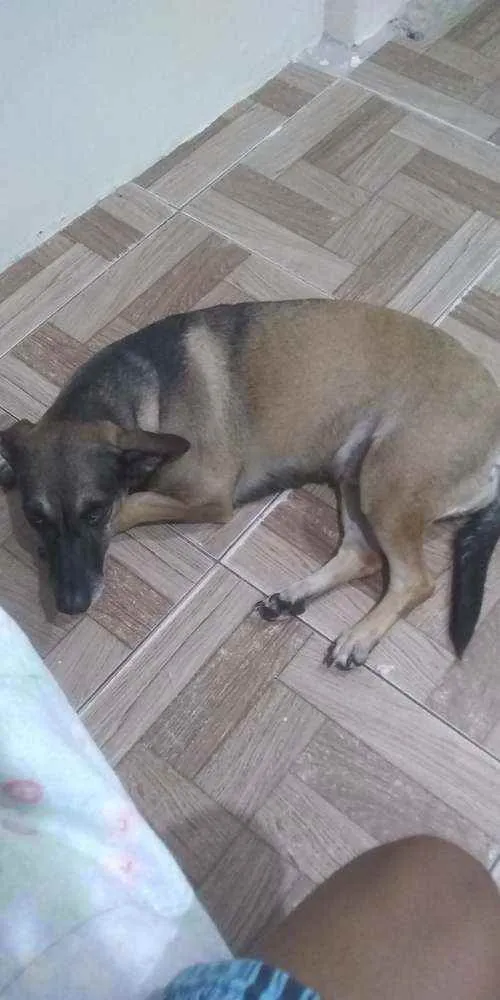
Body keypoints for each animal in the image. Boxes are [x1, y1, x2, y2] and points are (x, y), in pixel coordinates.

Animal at [1, 299, 499, 669]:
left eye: (96, 512)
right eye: (34, 517)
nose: (71, 604)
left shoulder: (207, 496)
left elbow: (134, 503)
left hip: (387, 483)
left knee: (416, 581)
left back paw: (360, 636)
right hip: (355, 474)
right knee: (365, 556)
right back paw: (295, 596)